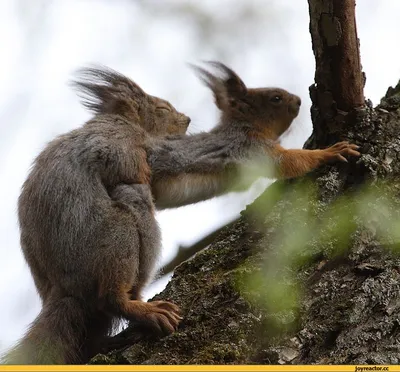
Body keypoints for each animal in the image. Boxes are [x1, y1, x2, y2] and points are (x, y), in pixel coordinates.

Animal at [1, 66, 189, 364]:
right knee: (110, 298)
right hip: (116, 236)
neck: (122, 121)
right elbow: (128, 169)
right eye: (161, 109)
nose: (187, 120)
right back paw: (140, 307)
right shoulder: (117, 141)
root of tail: (65, 288)